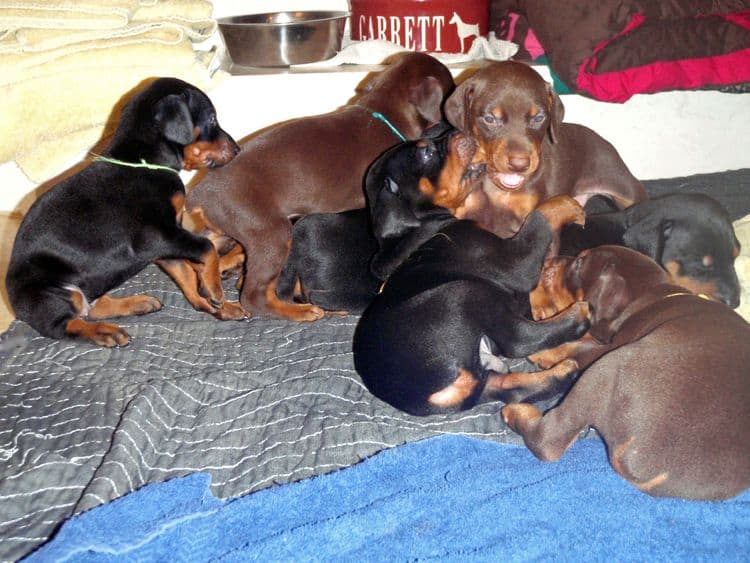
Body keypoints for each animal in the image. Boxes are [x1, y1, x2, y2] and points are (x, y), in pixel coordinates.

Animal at [6, 76, 247, 348]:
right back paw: (105, 332)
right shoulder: (158, 236)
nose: (237, 149)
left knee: (93, 308)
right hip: (49, 293)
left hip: (90, 286)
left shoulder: (165, 246)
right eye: (212, 119)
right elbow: (206, 247)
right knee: (66, 324)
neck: (144, 163)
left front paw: (218, 305)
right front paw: (215, 289)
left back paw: (139, 303)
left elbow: (188, 278)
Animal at [188, 55, 458, 324]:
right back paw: (301, 311)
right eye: (450, 87)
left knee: (204, 253)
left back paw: (213, 289)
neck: (383, 113)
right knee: (254, 296)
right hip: (272, 233)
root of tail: (200, 192)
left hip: (227, 227)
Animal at [500, 245, 750, 500]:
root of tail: (657, 472)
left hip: (609, 365)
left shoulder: (609, 345)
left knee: (549, 440)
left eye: (580, 262)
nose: (548, 262)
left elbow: (575, 346)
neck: (653, 296)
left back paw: (516, 411)